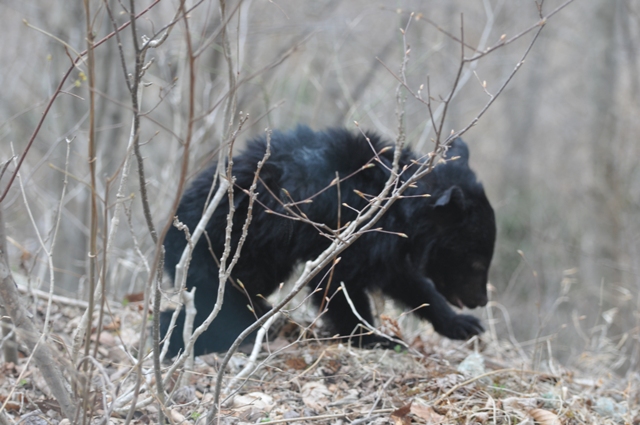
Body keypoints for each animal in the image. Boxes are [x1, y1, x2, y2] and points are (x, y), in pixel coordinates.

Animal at [160, 125, 496, 354]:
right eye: (477, 262)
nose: (481, 301)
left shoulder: (382, 246)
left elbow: (409, 282)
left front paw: (463, 326)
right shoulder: (343, 230)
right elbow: (336, 283)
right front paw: (374, 338)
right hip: (231, 248)